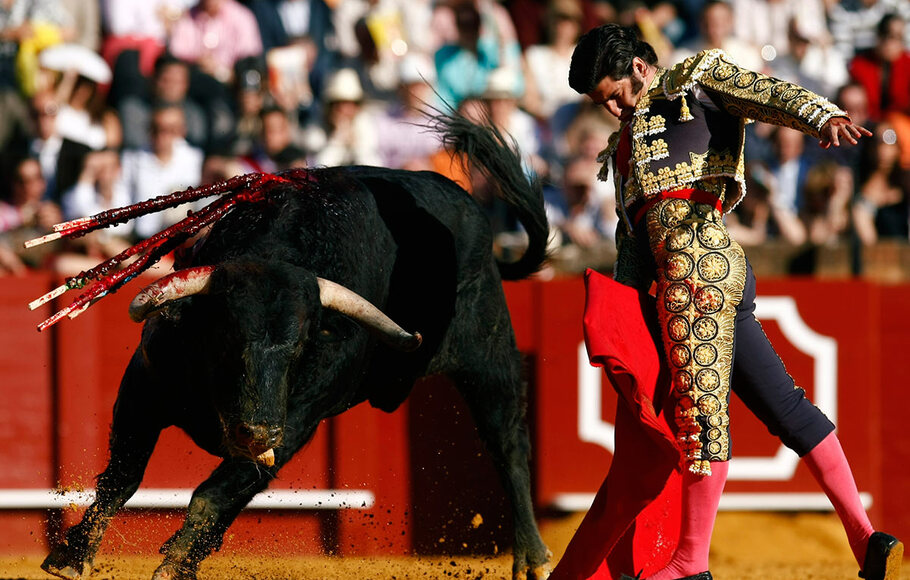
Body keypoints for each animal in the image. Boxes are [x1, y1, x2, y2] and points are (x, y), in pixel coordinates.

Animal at [41, 116, 556, 580]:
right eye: (225, 336)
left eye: (299, 346)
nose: (257, 432)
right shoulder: (145, 385)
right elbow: (123, 475)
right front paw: (72, 558)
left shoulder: (296, 423)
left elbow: (212, 494)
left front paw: (173, 564)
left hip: (489, 357)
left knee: (508, 444)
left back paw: (533, 560)